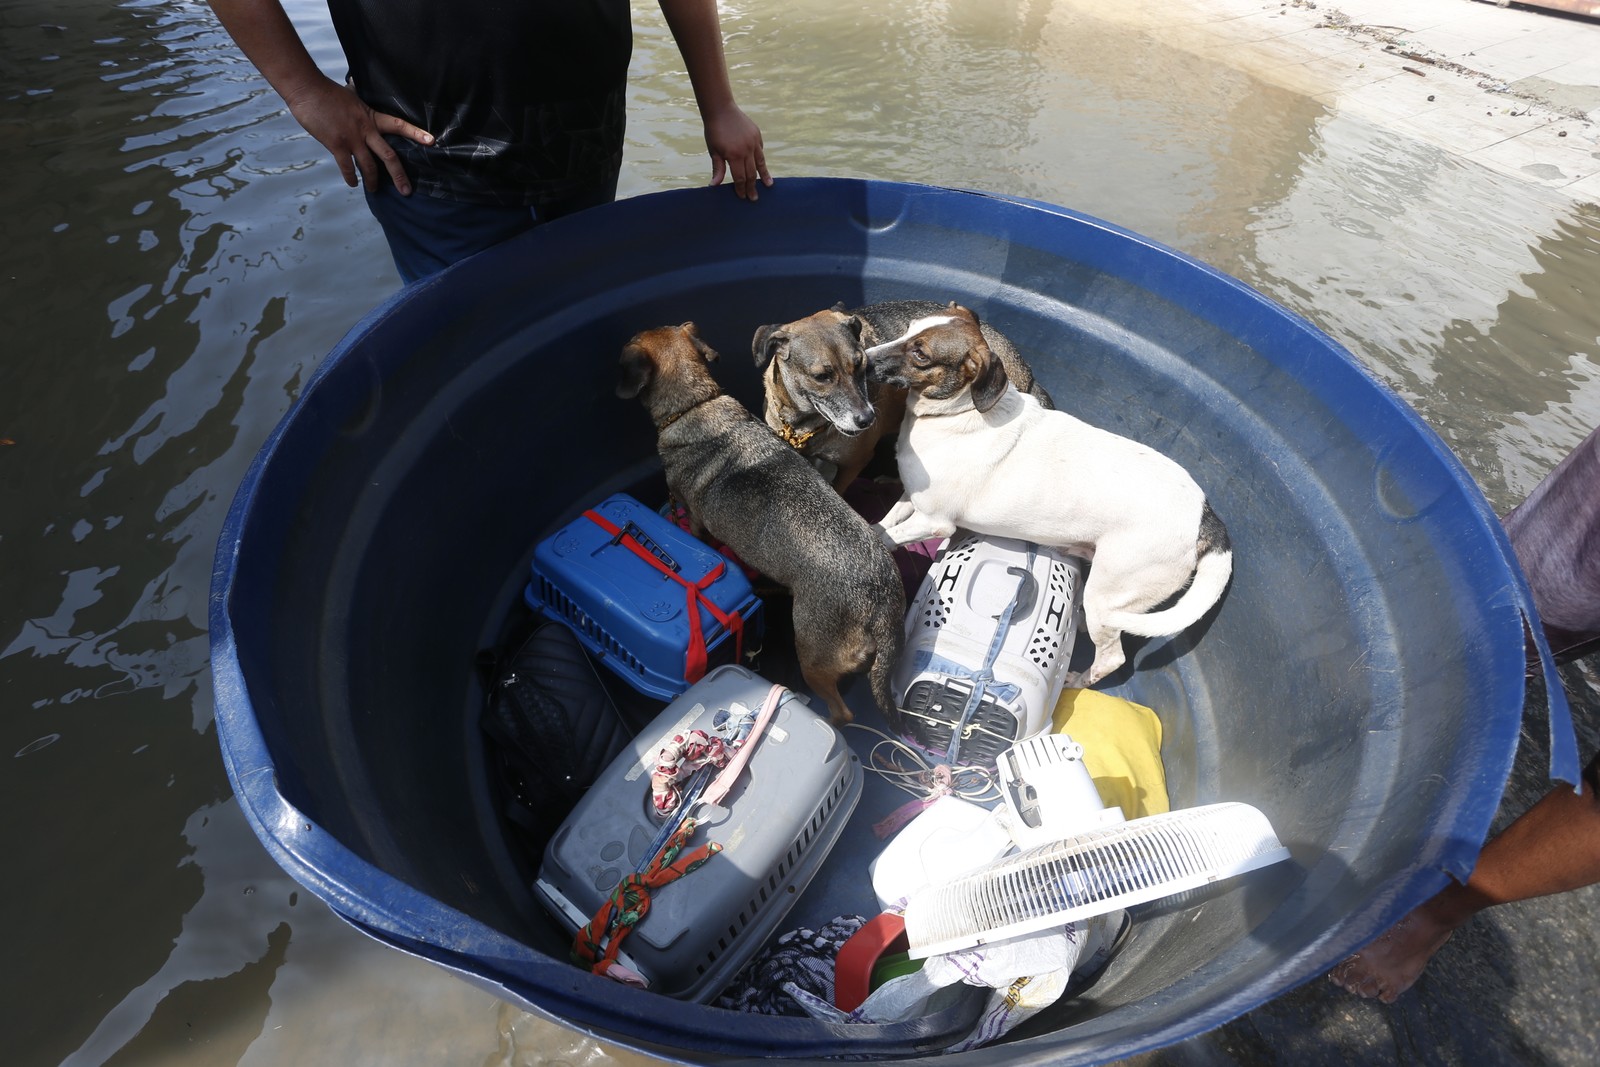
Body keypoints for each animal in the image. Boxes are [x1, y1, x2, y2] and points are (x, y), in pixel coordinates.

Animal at [870, 302, 1228, 684]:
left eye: (920, 353)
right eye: (909, 327)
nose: (863, 357)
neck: (958, 414)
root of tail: (1206, 517)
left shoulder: (934, 521)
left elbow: (888, 537)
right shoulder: (911, 498)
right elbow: (883, 524)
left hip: (1111, 590)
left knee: (1112, 657)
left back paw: (1079, 681)